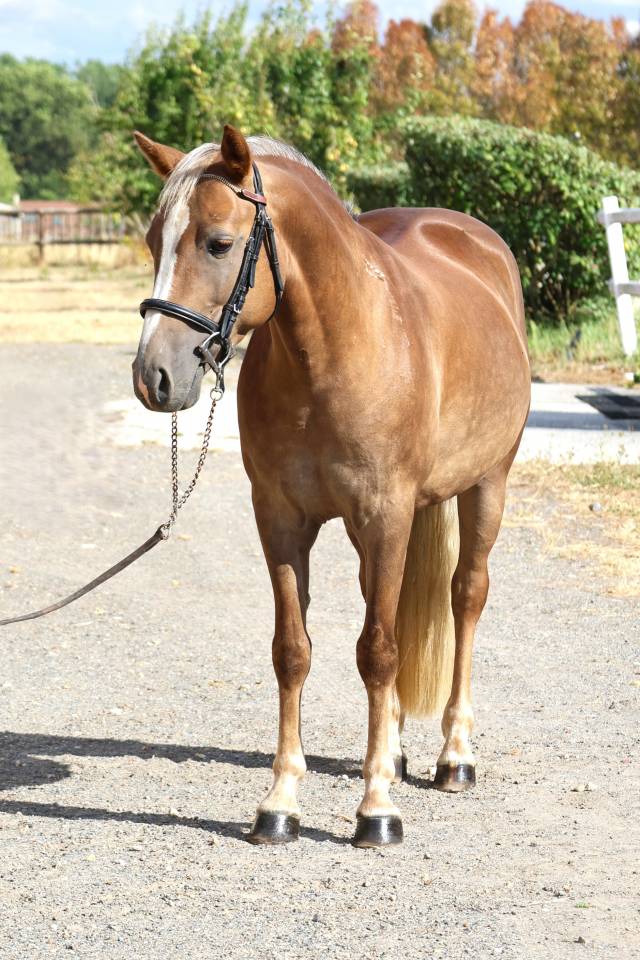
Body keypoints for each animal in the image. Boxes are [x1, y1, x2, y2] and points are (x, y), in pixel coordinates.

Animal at [132, 125, 530, 848]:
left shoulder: (385, 515)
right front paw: (281, 801)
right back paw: (394, 750)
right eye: (153, 241)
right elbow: (294, 651)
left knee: (465, 597)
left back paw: (455, 755)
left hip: (487, 485)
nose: (154, 377)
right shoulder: (281, 520)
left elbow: (377, 651)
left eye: (218, 243)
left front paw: (376, 809)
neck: (332, 352)